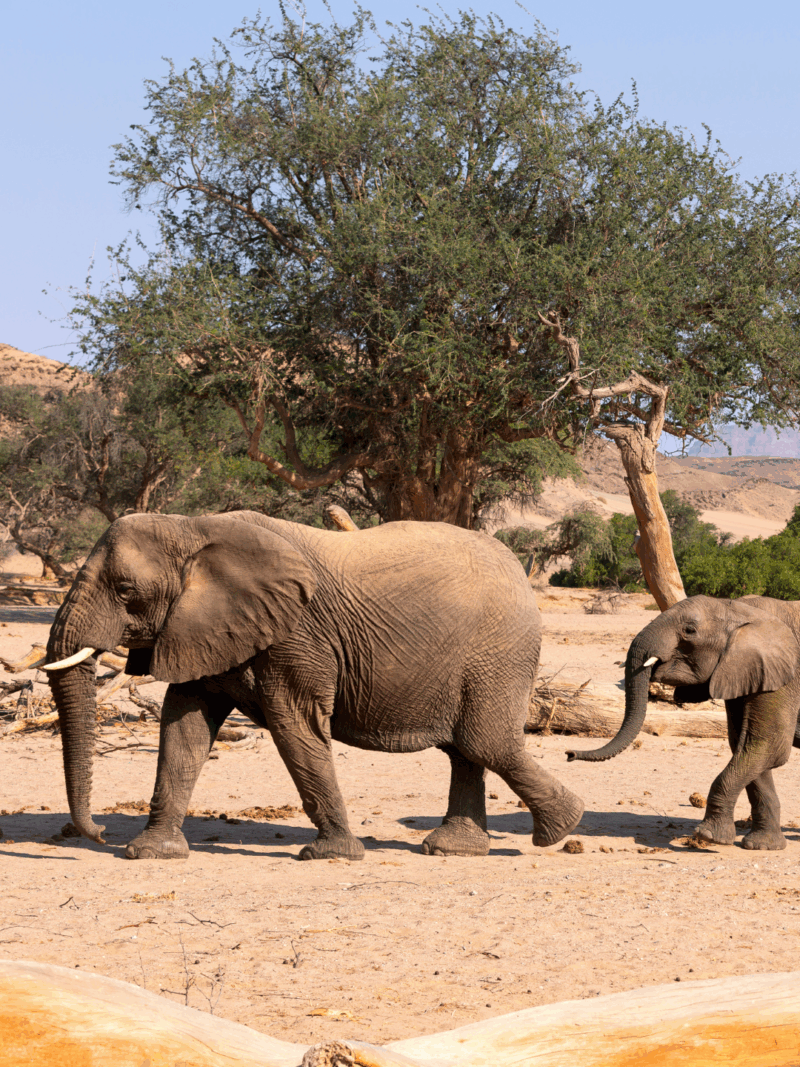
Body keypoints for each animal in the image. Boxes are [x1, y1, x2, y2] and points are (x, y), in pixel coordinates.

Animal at [43, 511, 584, 861]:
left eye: (125, 591)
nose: (98, 833)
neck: (193, 527)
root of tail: (520, 569)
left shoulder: (298, 634)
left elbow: (294, 722)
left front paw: (332, 855)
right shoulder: (203, 628)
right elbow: (185, 725)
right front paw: (152, 853)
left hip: (500, 651)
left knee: (483, 741)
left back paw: (561, 829)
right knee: (465, 748)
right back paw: (456, 849)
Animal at [567, 594, 800, 850]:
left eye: (690, 631)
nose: (569, 754)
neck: (741, 610)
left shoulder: (786, 676)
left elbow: (769, 747)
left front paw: (708, 837)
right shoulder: (746, 672)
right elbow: (747, 747)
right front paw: (762, 846)